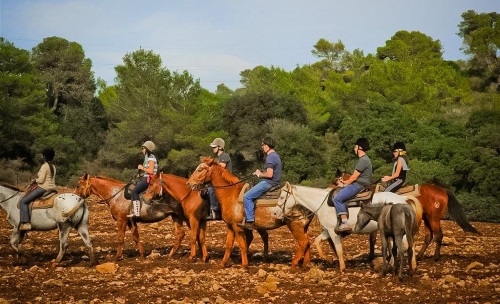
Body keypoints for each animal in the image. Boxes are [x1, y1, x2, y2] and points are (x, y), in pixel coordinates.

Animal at [186, 158, 314, 270]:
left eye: (200, 169)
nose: (189, 183)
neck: (231, 194)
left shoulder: (237, 227)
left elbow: (242, 245)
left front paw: (244, 265)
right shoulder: (230, 226)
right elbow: (228, 245)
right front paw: (223, 264)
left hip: (295, 226)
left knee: (303, 243)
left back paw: (294, 264)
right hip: (304, 227)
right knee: (308, 243)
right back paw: (305, 265)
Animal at [278, 182, 422, 272]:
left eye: (282, 196)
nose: (276, 213)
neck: (322, 203)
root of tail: (403, 199)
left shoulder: (333, 232)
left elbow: (338, 249)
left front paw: (341, 267)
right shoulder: (327, 230)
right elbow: (317, 241)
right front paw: (328, 259)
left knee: (406, 245)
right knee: (406, 245)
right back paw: (405, 266)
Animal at [332, 173, 480, 262]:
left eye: (336, 182)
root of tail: (442, 190)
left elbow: (372, 240)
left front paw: (372, 256)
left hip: (434, 219)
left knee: (438, 235)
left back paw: (436, 257)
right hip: (427, 219)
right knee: (429, 236)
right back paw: (419, 256)